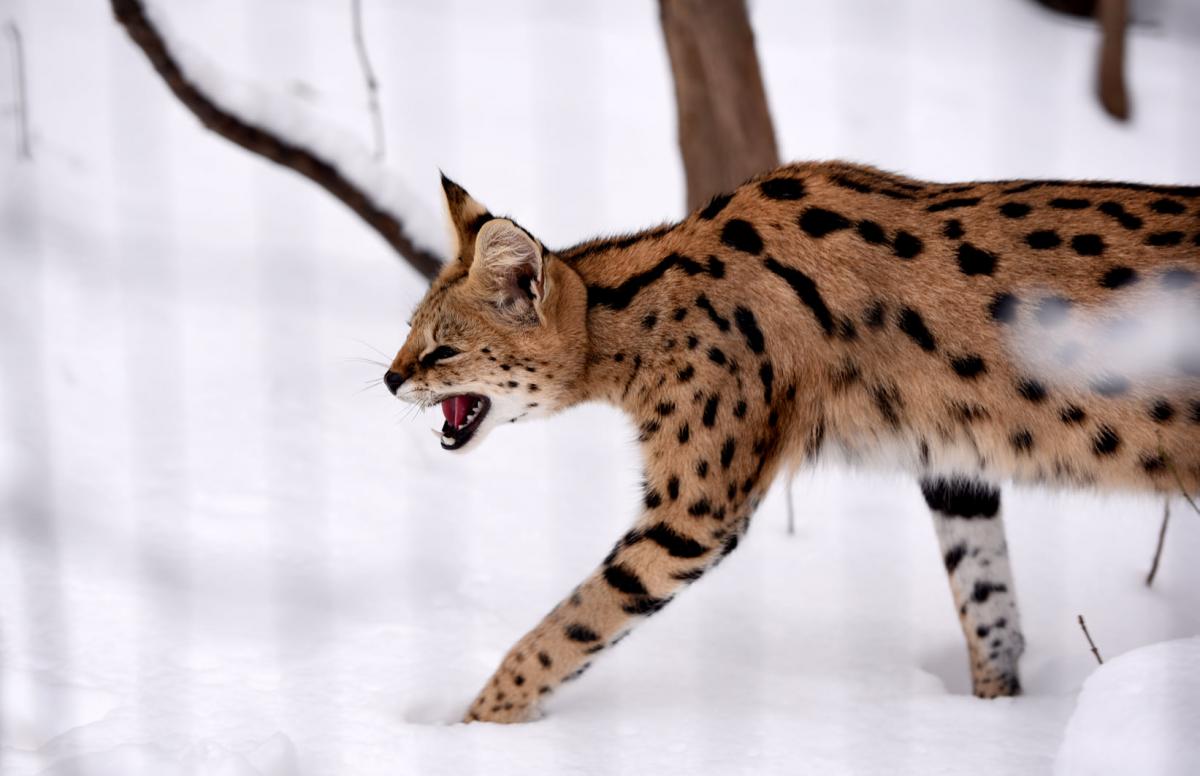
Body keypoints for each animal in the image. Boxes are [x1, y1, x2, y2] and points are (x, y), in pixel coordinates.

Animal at [384, 160, 1200, 724]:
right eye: (408, 332)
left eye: (442, 352)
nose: (390, 381)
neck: (637, 319)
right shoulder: (953, 464)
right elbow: (988, 602)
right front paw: (996, 719)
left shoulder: (693, 511)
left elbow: (569, 625)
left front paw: (479, 724)